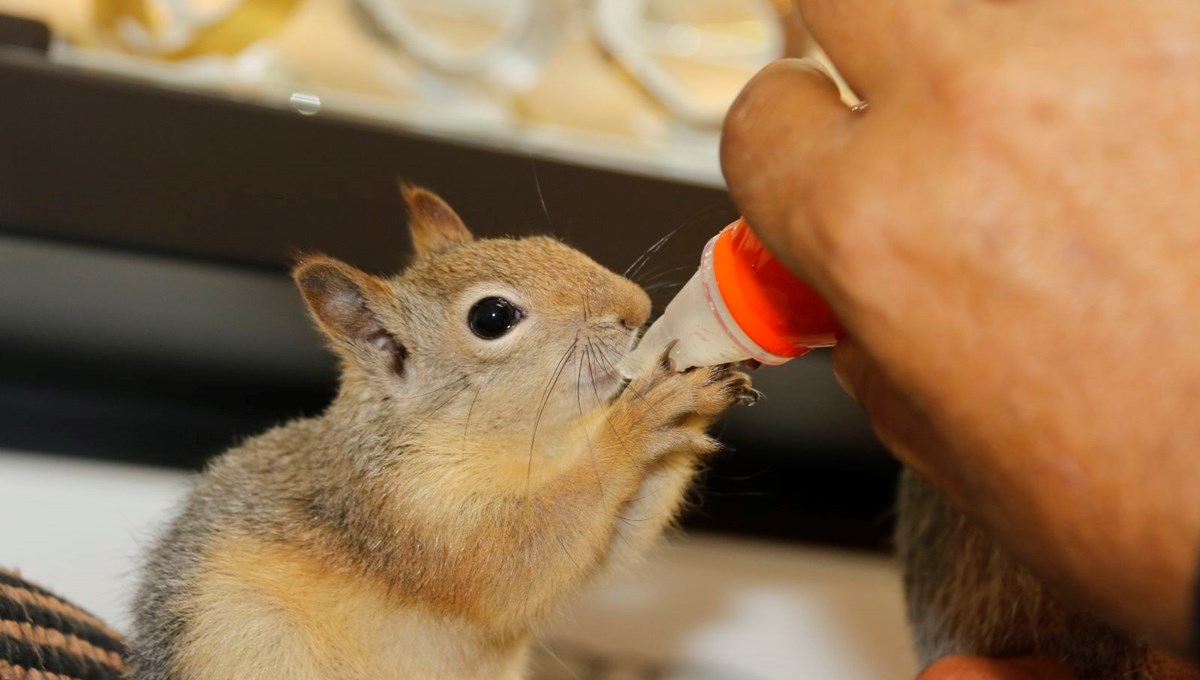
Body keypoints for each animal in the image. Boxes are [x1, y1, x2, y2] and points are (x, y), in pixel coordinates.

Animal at [124, 187, 758, 680]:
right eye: (492, 318)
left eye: (544, 241)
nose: (637, 307)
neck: (536, 442)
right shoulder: (403, 511)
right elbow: (515, 559)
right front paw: (644, 415)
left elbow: (617, 540)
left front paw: (703, 382)